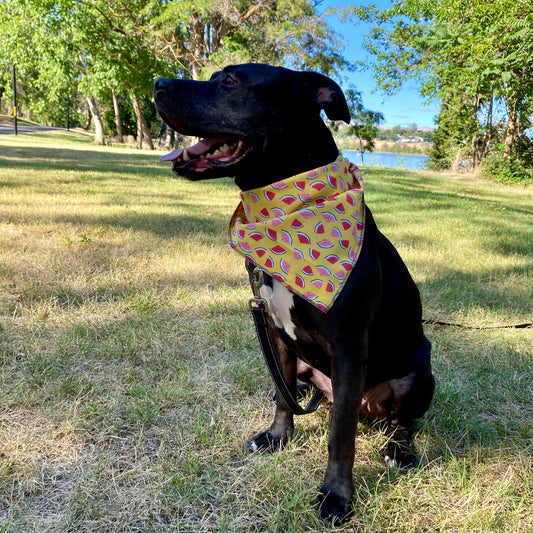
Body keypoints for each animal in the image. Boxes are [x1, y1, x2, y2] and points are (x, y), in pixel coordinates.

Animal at [153, 63, 432, 524]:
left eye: (230, 81)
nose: (157, 84)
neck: (287, 209)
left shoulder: (349, 348)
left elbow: (340, 436)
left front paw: (337, 495)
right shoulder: (273, 329)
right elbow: (282, 397)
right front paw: (277, 436)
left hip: (418, 373)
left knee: (401, 422)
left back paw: (399, 451)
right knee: (292, 389)